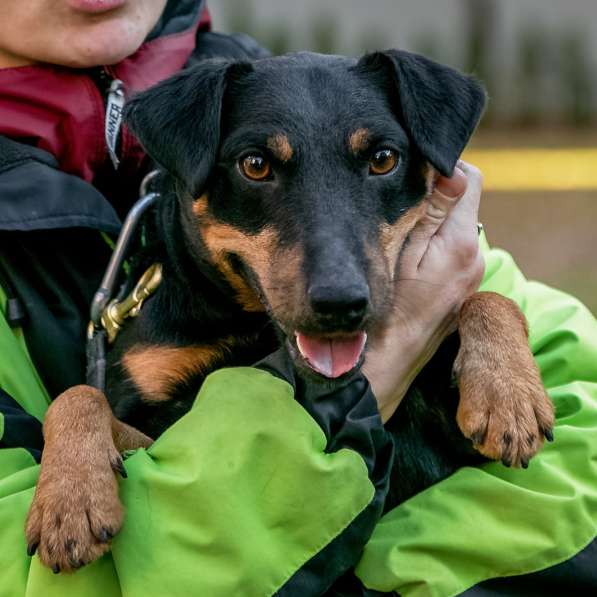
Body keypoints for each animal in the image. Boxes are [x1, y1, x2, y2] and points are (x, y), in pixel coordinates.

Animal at [24, 51, 556, 572]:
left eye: (383, 159)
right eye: (255, 165)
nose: (341, 303)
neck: (252, 331)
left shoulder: (444, 444)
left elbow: (490, 298)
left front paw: (508, 395)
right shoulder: (154, 423)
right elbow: (77, 396)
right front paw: (70, 500)